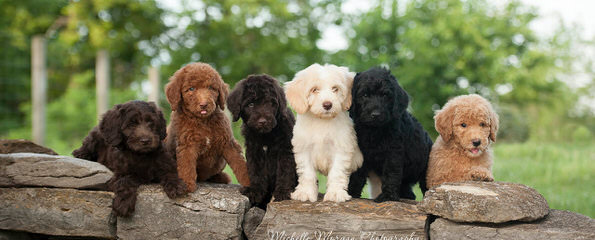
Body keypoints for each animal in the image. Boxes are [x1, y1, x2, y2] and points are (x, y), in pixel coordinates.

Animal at [164, 62, 250, 192]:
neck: (203, 121)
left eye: (211, 88)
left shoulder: (227, 141)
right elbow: (186, 165)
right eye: (191, 89)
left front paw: (250, 182)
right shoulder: (187, 144)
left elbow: (239, 162)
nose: (204, 104)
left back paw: (221, 177)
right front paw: (187, 184)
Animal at [286, 63, 364, 202]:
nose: (327, 104)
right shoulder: (304, 149)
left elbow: (337, 172)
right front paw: (305, 193)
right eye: (314, 90)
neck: (322, 121)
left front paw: (335, 193)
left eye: (335, 89)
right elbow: (307, 173)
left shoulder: (341, 148)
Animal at [350, 66, 434, 202]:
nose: (375, 114)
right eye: (365, 95)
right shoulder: (361, 151)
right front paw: (351, 192)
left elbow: (391, 173)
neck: (374, 130)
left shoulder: (393, 152)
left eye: (385, 95)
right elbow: (357, 173)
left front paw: (388, 196)